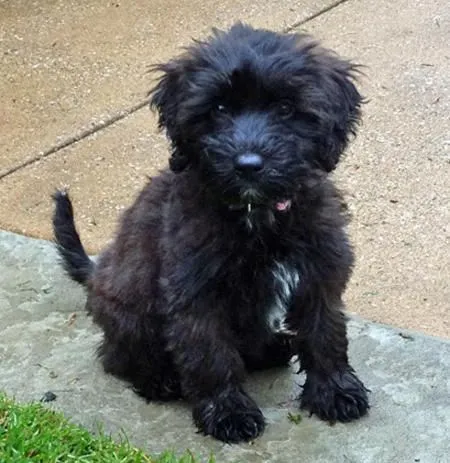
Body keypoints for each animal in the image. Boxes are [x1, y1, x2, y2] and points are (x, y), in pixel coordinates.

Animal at [52, 23, 370, 444]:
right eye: (218, 109)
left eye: (286, 109)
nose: (248, 164)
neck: (256, 218)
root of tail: (96, 274)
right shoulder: (195, 293)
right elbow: (210, 355)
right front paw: (228, 412)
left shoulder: (320, 273)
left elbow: (326, 334)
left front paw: (335, 391)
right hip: (131, 311)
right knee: (117, 356)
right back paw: (159, 379)